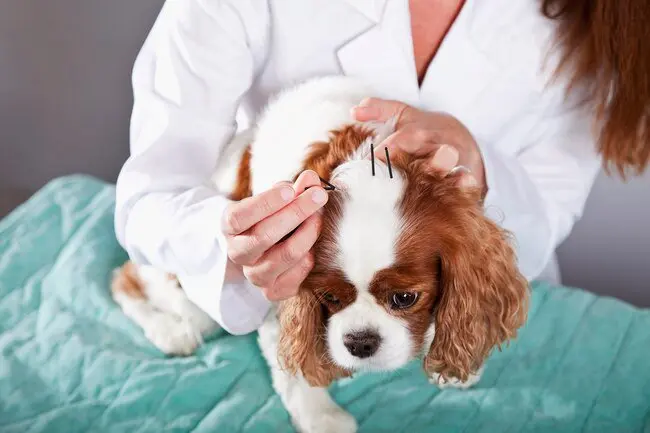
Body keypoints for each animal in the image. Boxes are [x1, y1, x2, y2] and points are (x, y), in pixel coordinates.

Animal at [111, 76, 528, 432]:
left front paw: (456, 364)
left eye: (405, 298)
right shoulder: (278, 283)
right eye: (328, 297)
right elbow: (295, 369)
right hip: (194, 296)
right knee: (126, 281)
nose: (360, 343)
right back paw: (169, 331)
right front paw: (321, 416)